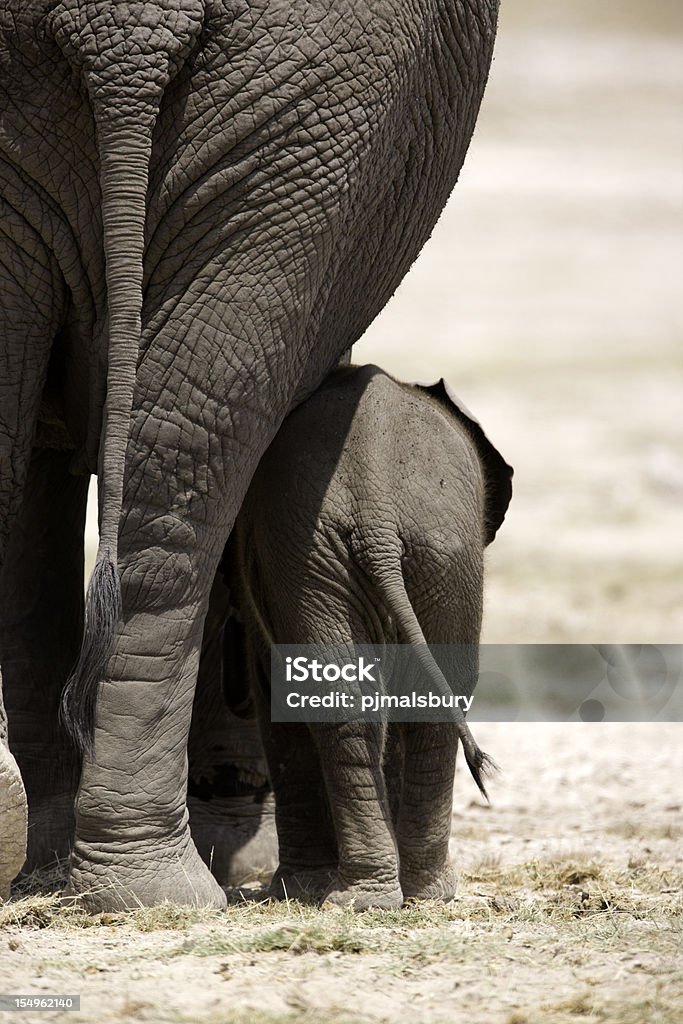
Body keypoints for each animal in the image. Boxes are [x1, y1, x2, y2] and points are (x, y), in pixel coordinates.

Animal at [227, 364, 509, 909]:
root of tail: (376, 514)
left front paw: (295, 889)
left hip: (393, 555)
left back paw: (385, 892)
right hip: (420, 554)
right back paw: (398, 893)